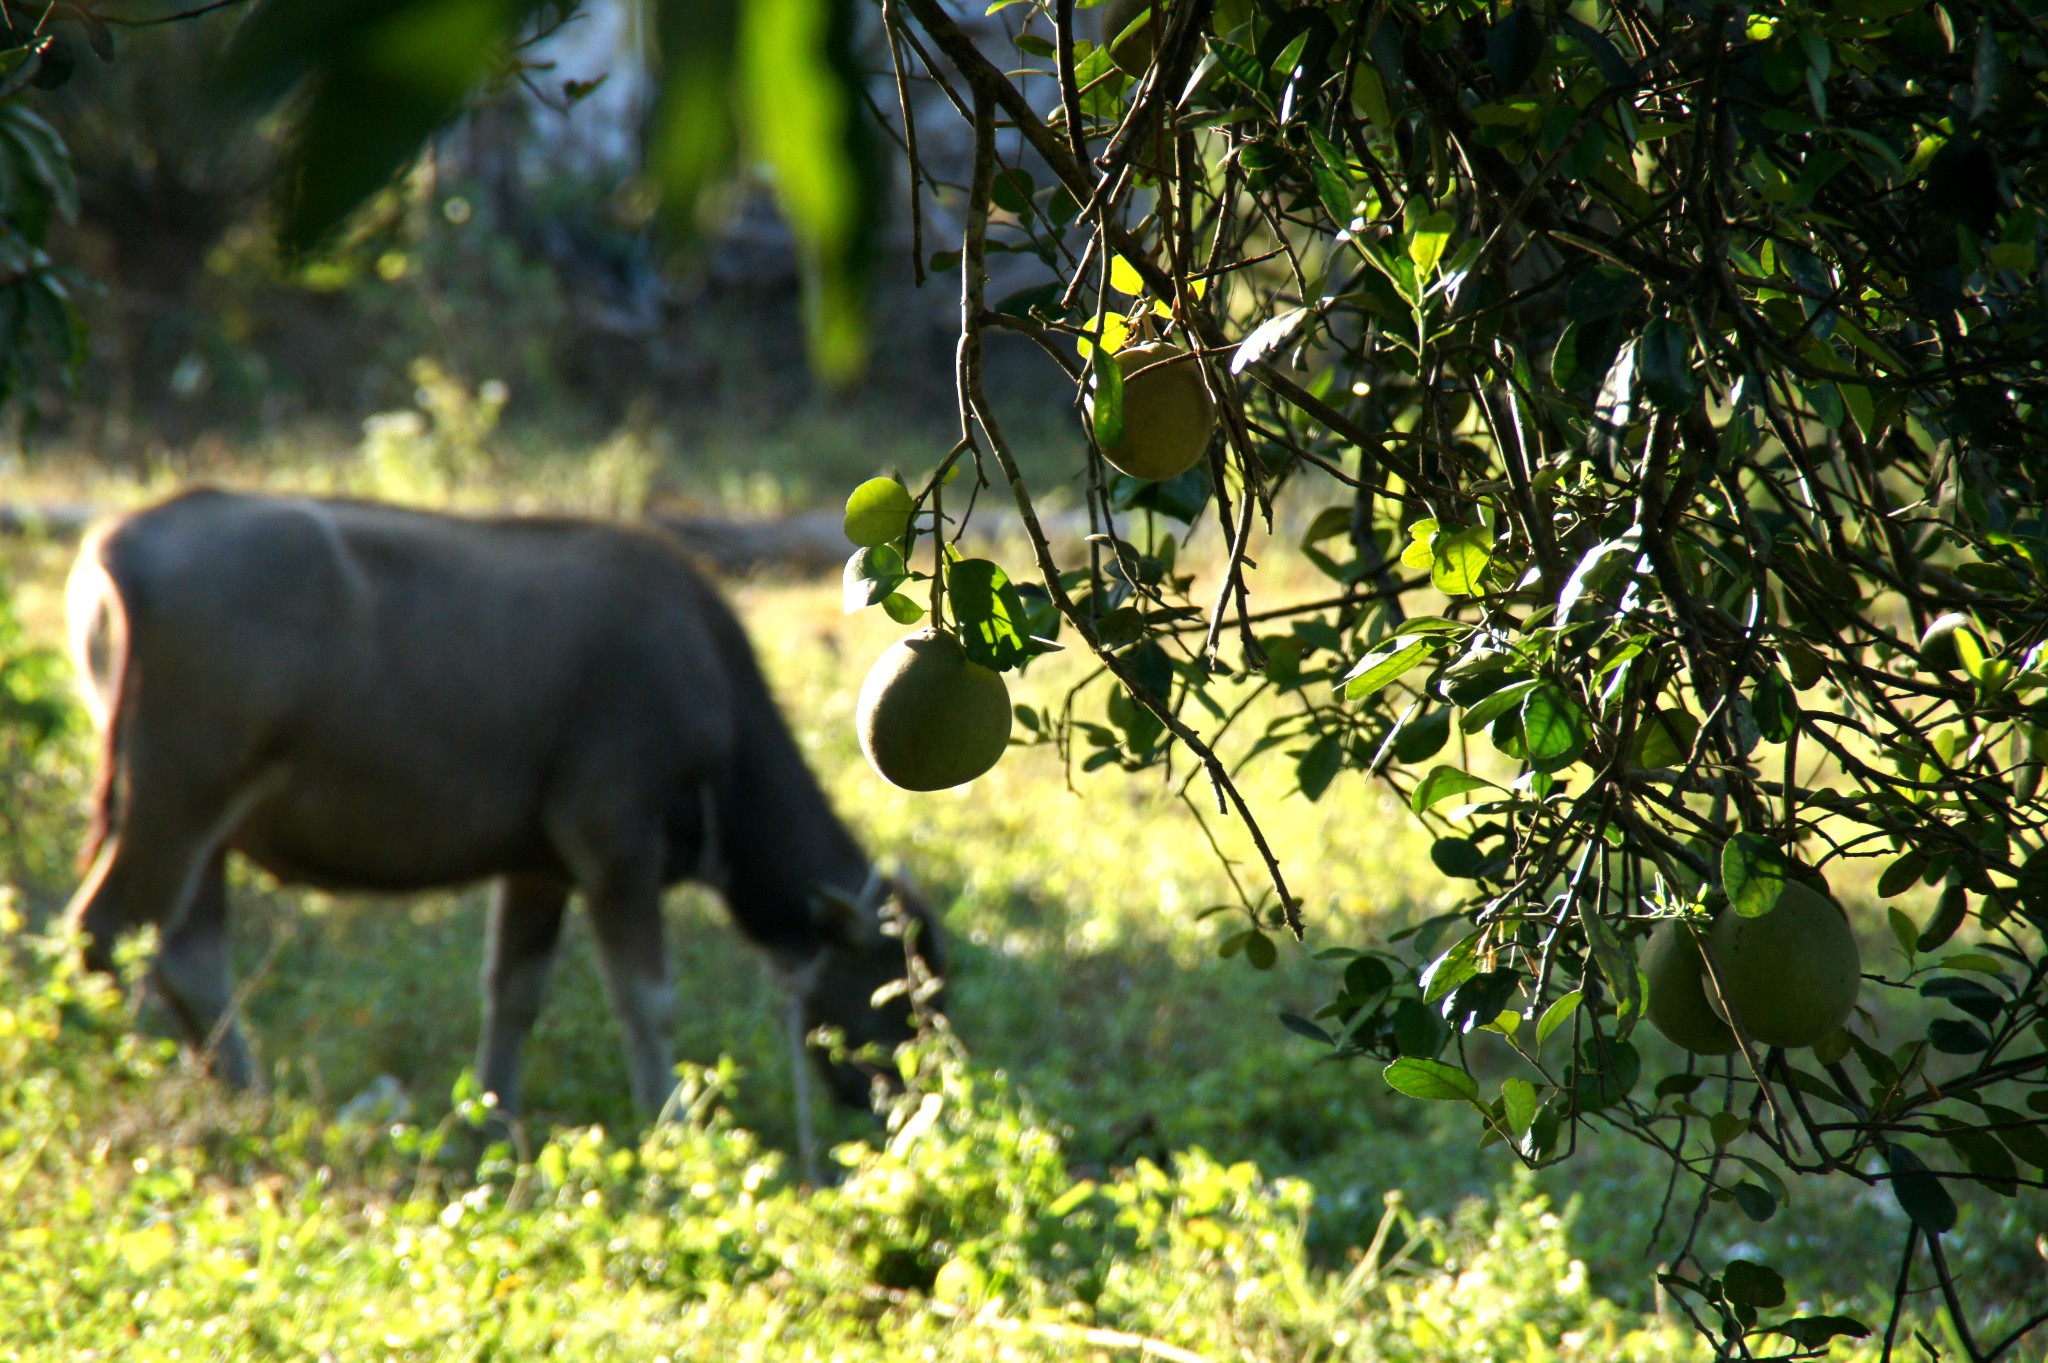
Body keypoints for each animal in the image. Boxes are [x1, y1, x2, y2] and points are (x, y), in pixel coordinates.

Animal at [61, 489, 942, 1113]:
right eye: (898, 992)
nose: (902, 1098)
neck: (715, 700)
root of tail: (117, 547)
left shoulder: (538, 865)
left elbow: (513, 995)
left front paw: (492, 1120)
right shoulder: (614, 844)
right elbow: (647, 1002)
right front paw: (669, 1123)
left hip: (199, 828)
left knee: (187, 954)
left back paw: (245, 1092)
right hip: (171, 804)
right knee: (109, 929)